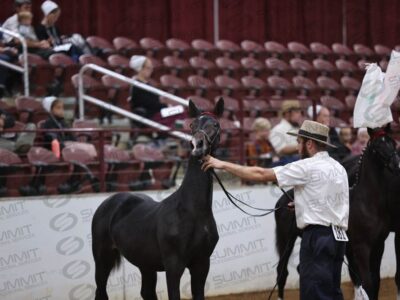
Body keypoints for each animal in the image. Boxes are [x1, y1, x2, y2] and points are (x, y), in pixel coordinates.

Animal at [91, 99, 225, 300]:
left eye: (215, 125)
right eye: (192, 125)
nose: (197, 146)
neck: (192, 211)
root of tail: (108, 202)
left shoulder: (201, 265)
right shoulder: (173, 267)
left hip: (145, 263)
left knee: (146, 291)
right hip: (102, 259)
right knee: (100, 290)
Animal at [274, 126, 400, 300]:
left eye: (393, 143)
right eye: (377, 146)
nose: (396, 164)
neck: (367, 202)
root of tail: (282, 200)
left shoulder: (378, 245)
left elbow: (375, 282)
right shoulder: (361, 247)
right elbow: (367, 282)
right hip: (286, 240)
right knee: (282, 271)